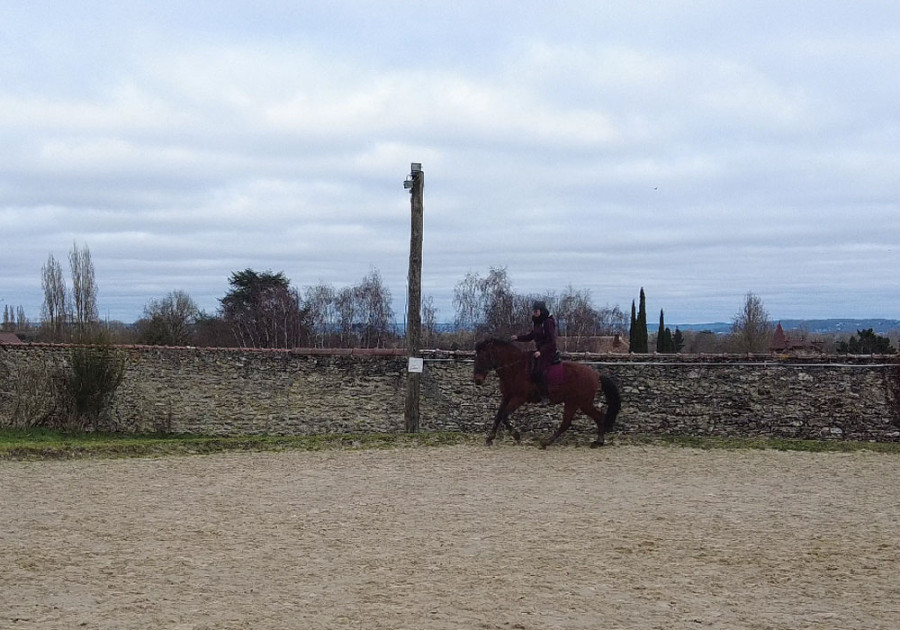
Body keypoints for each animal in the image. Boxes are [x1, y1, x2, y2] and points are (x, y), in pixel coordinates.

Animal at [472, 338, 621, 448]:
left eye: (483, 357)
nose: (477, 380)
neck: (515, 368)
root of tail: (595, 374)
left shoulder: (519, 398)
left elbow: (504, 416)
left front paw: (517, 436)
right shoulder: (507, 396)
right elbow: (498, 416)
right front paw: (490, 439)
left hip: (580, 403)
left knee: (586, 419)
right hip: (575, 403)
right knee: (576, 421)